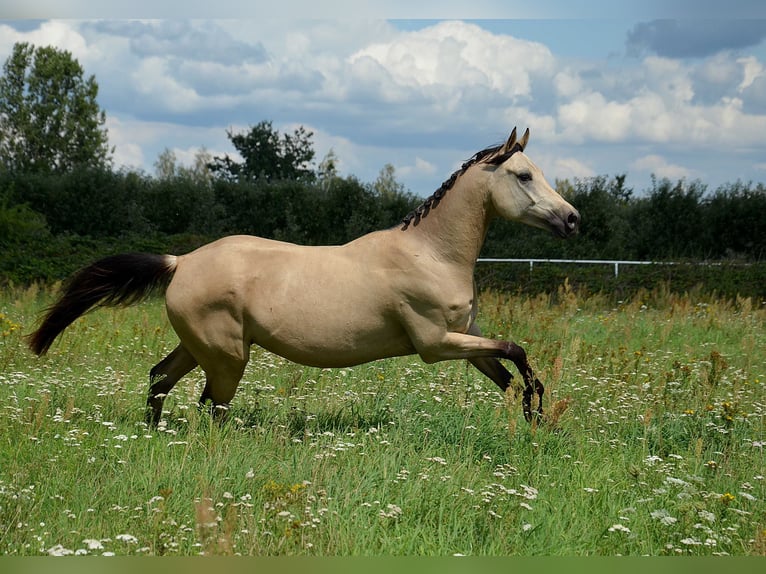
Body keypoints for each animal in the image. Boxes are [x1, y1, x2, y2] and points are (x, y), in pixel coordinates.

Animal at [28, 128, 579, 426]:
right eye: (524, 176)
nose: (572, 220)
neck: (431, 254)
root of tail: (181, 262)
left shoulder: (465, 337)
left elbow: (509, 370)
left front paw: (533, 415)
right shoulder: (435, 344)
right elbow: (516, 352)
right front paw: (535, 411)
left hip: (200, 347)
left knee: (160, 379)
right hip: (227, 357)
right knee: (210, 406)